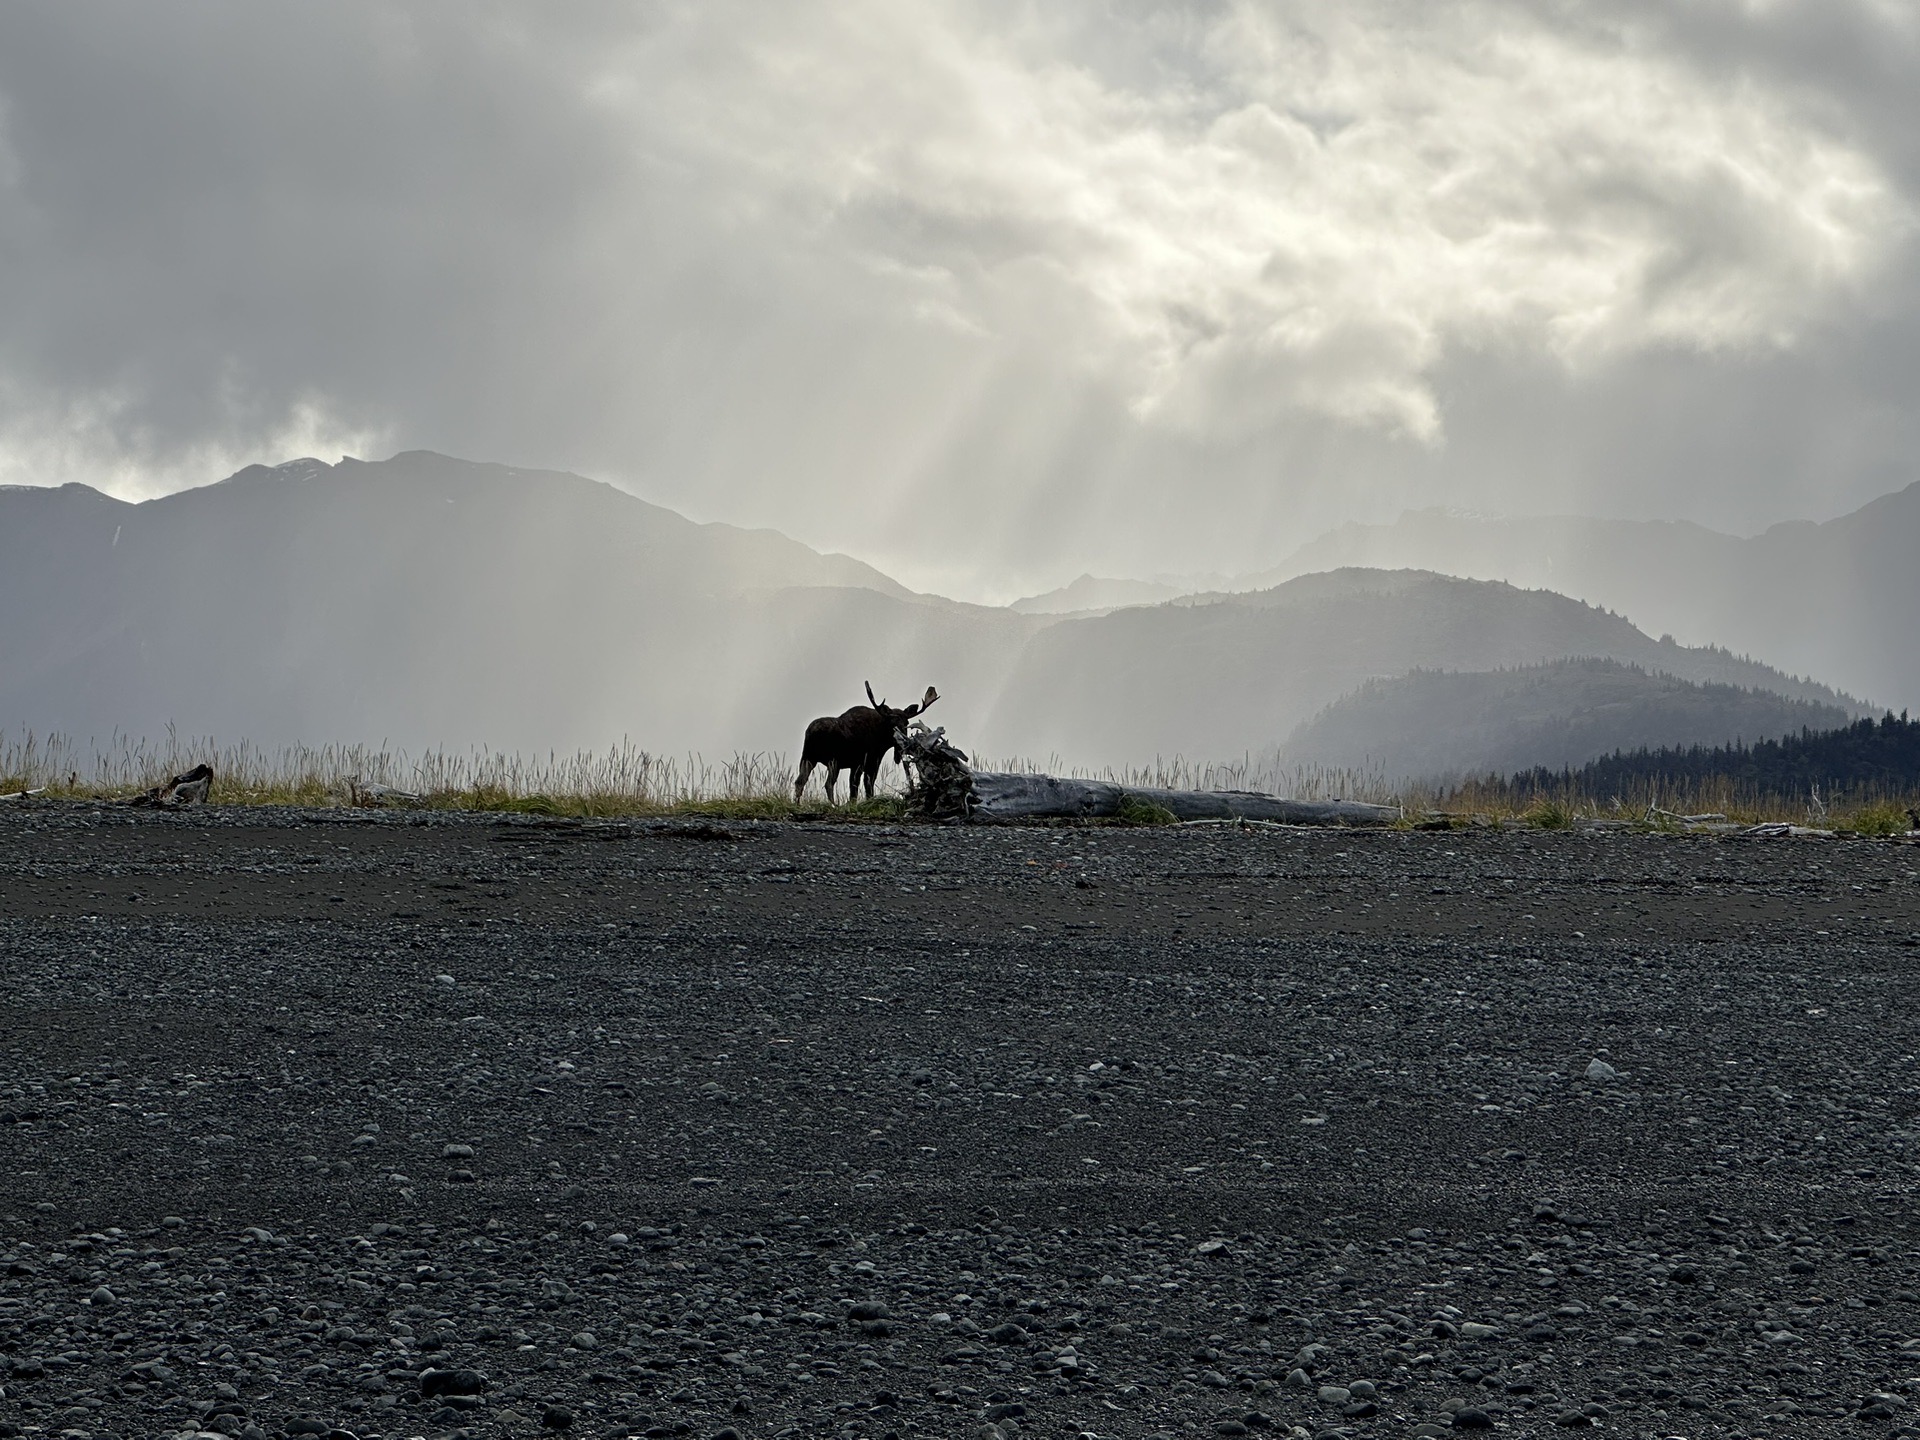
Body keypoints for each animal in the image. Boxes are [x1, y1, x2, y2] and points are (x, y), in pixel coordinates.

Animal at [798, 683, 940, 806]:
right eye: (891, 723)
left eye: (906, 723)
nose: (902, 742)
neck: (881, 742)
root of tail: (811, 732)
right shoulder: (867, 762)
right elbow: (865, 785)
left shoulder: (859, 764)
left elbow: (858, 786)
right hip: (833, 761)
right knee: (828, 784)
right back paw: (835, 805)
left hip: (808, 758)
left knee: (800, 781)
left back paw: (798, 803)